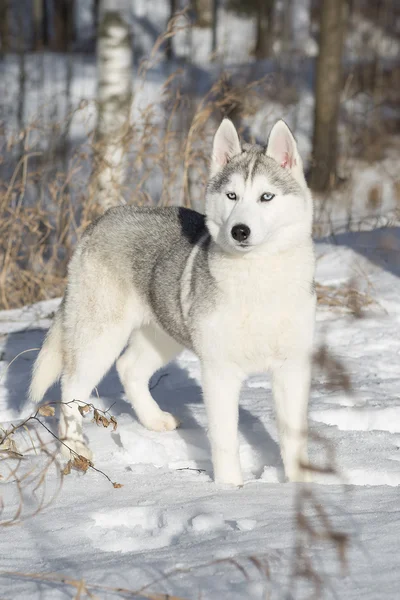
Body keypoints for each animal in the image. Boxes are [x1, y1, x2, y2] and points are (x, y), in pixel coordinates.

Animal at [29, 119, 314, 486]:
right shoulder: (219, 371)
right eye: (232, 196)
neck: (258, 281)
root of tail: (102, 220)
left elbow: (294, 437)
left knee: (128, 368)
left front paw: (301, 487)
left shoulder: (291, 368)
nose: (240, 231)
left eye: (267, 197)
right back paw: (75, 450)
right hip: (100, 337)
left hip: (162, 334)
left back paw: (155, 421)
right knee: (71, 385)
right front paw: (230, 488)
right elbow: (224, 438)